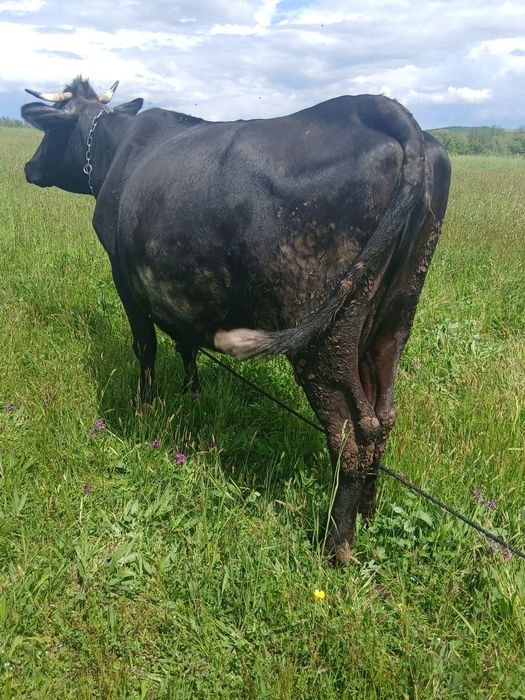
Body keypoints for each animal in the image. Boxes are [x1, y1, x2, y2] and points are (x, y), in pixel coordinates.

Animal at [22, 77, 450, 563]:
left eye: (49, 132)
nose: (28, 167)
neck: (119, 149)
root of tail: (379, 109)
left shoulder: (124, 277)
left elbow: (145, 346)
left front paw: (146, 407)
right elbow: (185, 342)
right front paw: (190, 392)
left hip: (325, 334)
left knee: (353, 433)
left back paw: (335, 543)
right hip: (392, 319)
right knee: (383, 417)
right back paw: (368, 512)